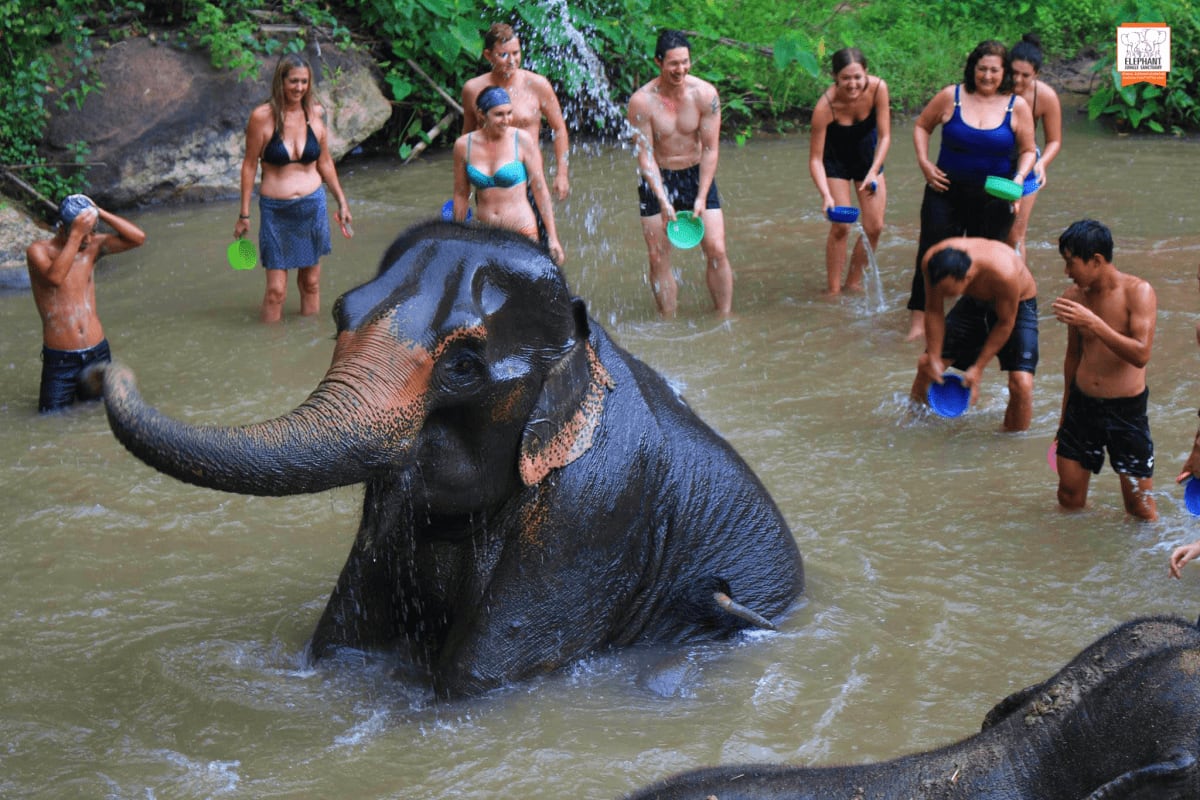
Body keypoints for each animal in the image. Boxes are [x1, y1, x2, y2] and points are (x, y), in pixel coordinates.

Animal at [92, 221, 804, 698]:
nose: (110, 368)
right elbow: (340, 635)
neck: (584, 338)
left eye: (463, 366)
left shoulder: (598, 507)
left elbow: (476, 676)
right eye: (340, 313)